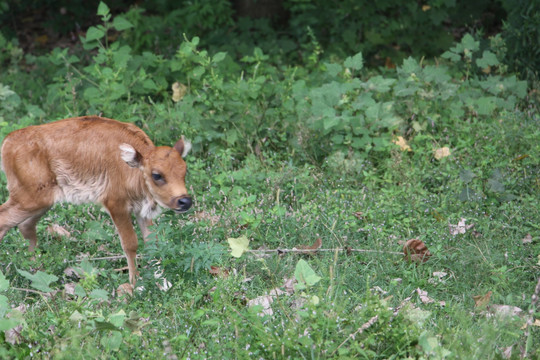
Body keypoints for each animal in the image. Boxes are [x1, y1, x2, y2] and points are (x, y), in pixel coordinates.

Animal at [0, 116, 193, 286]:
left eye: (184, 171)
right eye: (157, 175)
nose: (184, 201)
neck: (132, 168)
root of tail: (8, 141)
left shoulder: (141, 211)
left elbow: (153, 243)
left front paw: (164, 284)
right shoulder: (116, 205)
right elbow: (130, 244)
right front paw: (136, 285)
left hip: (43, 201)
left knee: (25, 226)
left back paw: (33, 267)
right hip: (29, 199)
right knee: (5, 220)